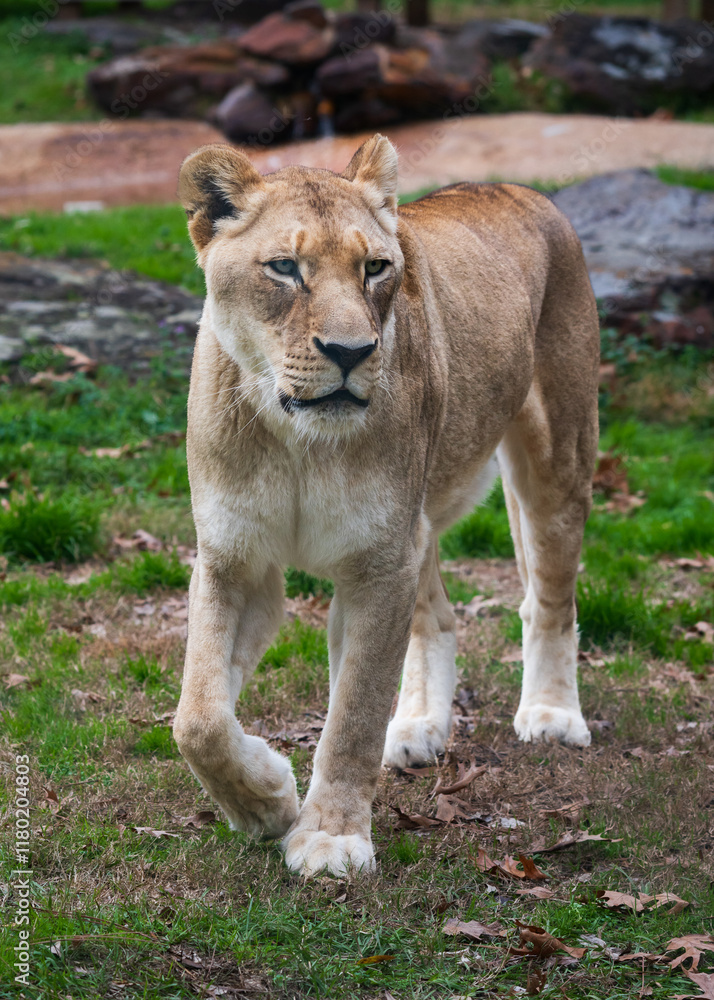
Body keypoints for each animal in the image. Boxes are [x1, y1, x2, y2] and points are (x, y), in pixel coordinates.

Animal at [173, 135, 599, 878]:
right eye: (284, 268)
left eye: (375, 268)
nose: (351, 352)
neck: (298, 441)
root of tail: (523, 191)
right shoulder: (235, 559)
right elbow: (198, 717)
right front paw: (266, 801)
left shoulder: (378, 564)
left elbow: (354, 716)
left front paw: (330, 838)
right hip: (418, 523)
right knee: (440, 617)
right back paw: (420, 726)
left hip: (555, 463)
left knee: (549, 600)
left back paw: (550, 716)